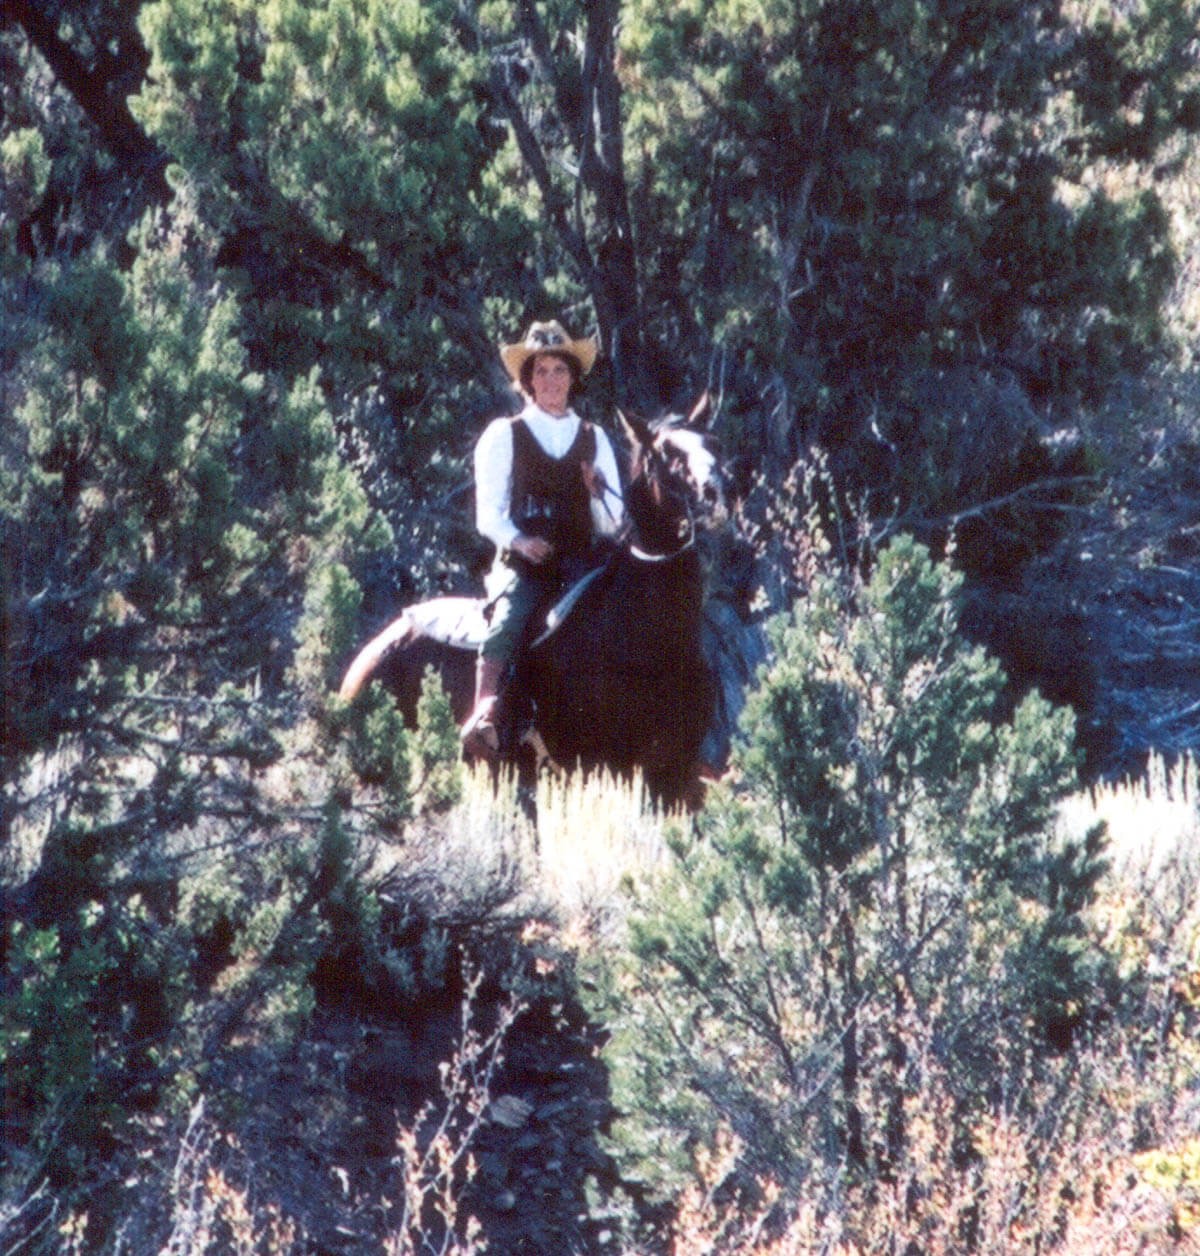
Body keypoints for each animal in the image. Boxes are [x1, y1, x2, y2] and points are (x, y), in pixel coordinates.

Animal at [341, 406, 728, 808]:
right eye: (666, 452)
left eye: (714, 444)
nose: (713, 498)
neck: (647, 643)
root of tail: (369, 656)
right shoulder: (596, 764)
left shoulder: (673, 775)